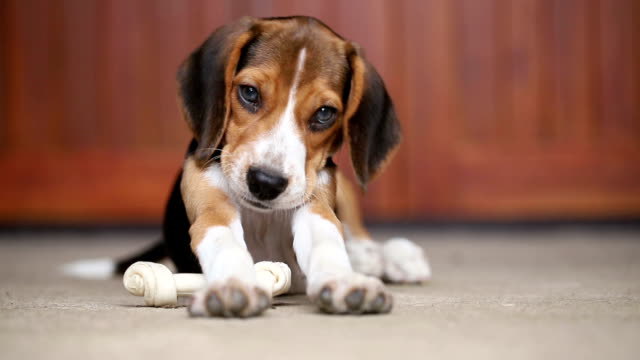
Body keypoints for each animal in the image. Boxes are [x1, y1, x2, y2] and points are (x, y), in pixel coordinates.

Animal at [65, 15, 430, 316]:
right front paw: (233, 285)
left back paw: (390, 257)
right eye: (249, 93)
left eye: (325, 113)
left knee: (357, 235)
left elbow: (327, 239)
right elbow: (225, 242)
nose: (266, 182)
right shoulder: (211, 203)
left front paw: (344, 281)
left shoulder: (317, 198)